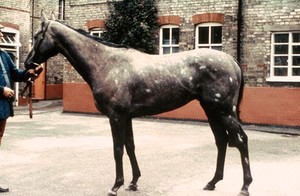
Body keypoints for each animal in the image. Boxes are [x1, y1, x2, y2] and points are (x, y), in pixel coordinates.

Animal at [24, 11, 252, 195]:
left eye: (36, 36)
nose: (27, 64)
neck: (107, 64)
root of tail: (232, 62)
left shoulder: (116, 117)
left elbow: (118, 149)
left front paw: (116, 185)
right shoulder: (127, 117)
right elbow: (130, 146)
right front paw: (133, 182)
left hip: (224, 111)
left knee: (241, 141)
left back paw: (245, 186)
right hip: (212, 110)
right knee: (221, 141)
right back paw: (212, 182)